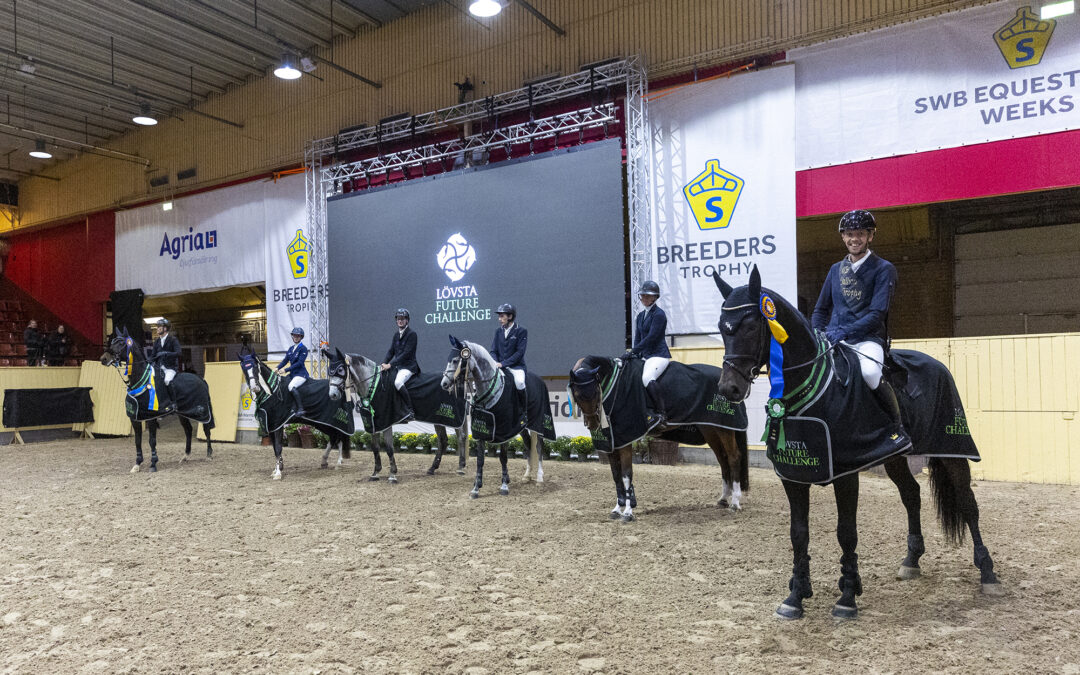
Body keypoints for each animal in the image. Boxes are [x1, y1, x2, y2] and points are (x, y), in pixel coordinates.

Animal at [100, 328, 213, 470]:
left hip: (202, 412)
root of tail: (201, 379)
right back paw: (185, 456)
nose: (103, 359)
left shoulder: (151, 417)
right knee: (188, 430)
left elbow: (152, 441)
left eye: (121, 343)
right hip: (183, 413)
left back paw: (209, 455)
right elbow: (137, 441)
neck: (140, 380)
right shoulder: (135, 418)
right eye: (112, 341)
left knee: (206, 429)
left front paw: (153, 463)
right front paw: (137, 464)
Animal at [570, 352, 747, 520]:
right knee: (723, 459)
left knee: (733, 457)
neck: (616, 387)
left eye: (595, 391)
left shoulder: (626, 439)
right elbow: (616, 476)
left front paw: (627, 512)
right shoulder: (612, 442)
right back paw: (723, 499)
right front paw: (617, 509)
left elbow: (626, 475)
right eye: (577, 395)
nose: (593, 424)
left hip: (725, 428)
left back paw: (735, 502)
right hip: (710, 429)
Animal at [712, 265, 997, 617]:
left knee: (968, 504)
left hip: (951, 448)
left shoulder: (846, 472)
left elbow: (846, 533)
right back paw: (911, 561)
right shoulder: (794, 473)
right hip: (893, 457)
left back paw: (988, 573)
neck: (812, 389)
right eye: (721, 328)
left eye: (751, 326)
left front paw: (847, 596)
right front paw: (795, 596)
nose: (729, 389)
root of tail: (936, 363)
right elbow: (798, 534)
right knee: (911, 495)